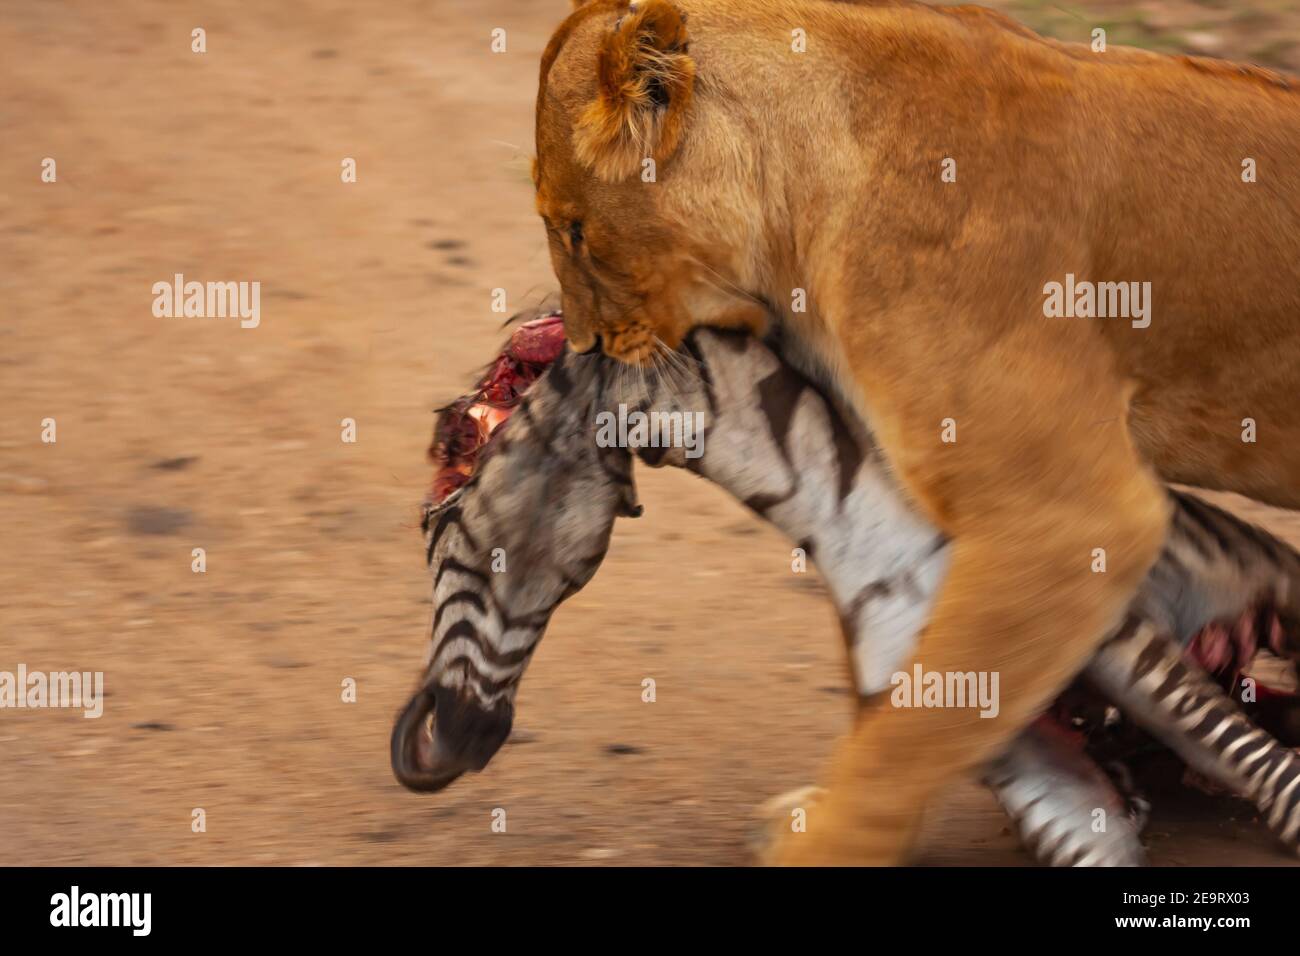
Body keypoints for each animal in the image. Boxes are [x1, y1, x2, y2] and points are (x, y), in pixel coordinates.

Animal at [530, 0, 1300, 868]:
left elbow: (910, 733)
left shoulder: (1073, 520)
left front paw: (826, 845)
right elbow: (893, 688)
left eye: (575, 231)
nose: (581, 345)